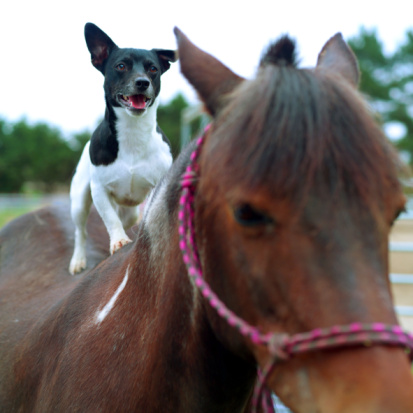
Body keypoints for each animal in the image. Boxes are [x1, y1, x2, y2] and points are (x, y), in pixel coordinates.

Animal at [69, 23, 175, 274]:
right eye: (121, 66)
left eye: (153, 69)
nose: (142, 82)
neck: (133, 131)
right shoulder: (99, 189)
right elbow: (110, 219)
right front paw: (118, 241)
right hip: (79, 200)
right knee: (81, 231)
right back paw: (78, 259)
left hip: (129, 210)